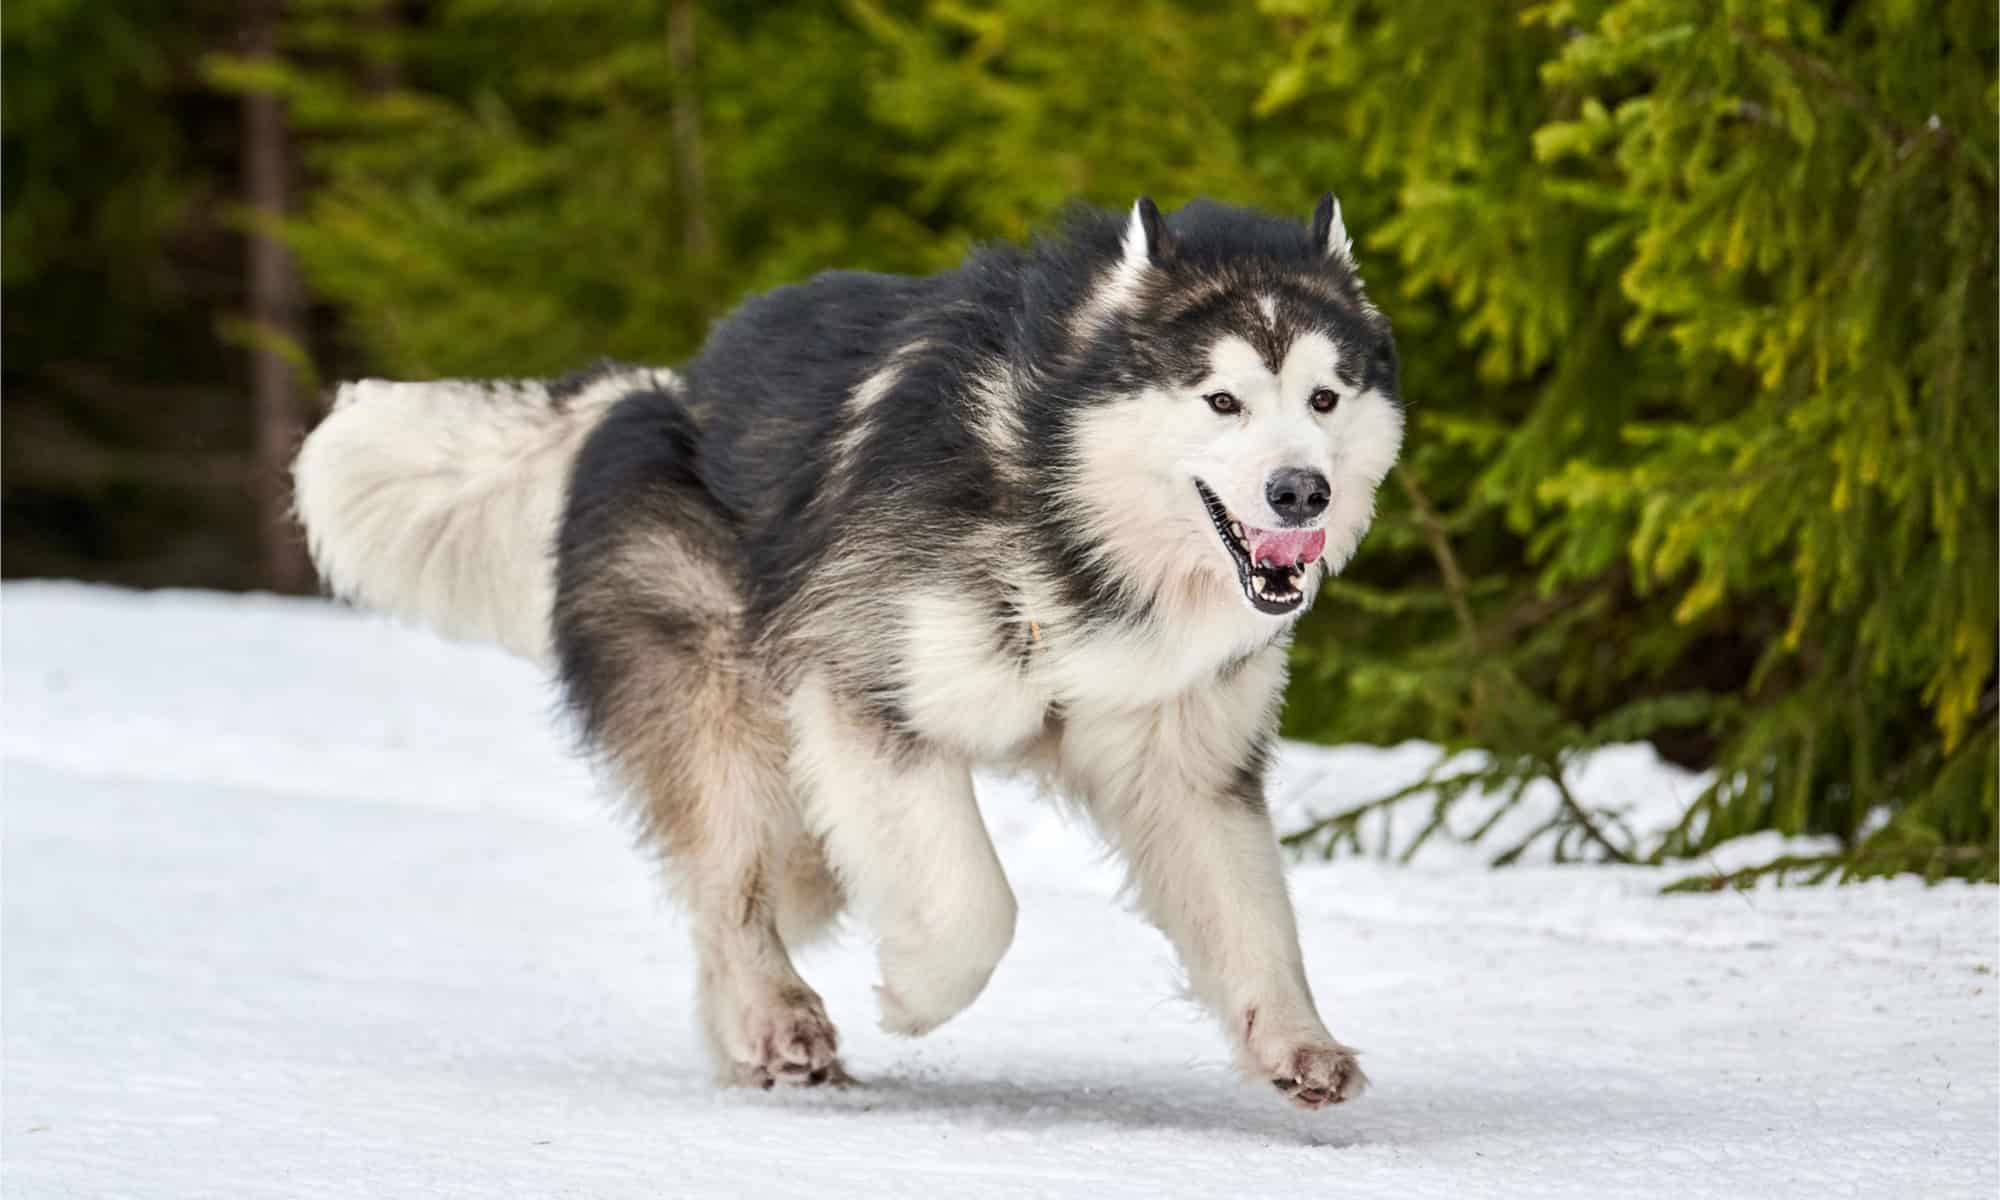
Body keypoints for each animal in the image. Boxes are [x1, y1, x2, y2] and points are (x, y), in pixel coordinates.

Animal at [292, 195, 1408, 1104]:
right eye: (1220, 399)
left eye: (1323, 398)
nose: (1298, 492)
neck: (1055, 500)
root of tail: (655, 389)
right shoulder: (865, 693)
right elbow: (974, 907)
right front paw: (915, 996)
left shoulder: (1182, 756)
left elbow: (1252, 919)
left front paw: (1295, 1042)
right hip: (728, 707)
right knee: (731, 884)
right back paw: (774, 1018)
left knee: (748, 888)